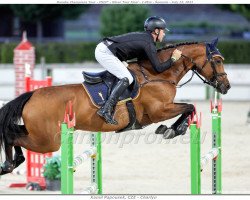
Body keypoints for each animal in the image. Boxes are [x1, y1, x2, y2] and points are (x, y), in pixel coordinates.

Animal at [0, 38, 230, 175]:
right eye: (218, 61)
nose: (226, 86)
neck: (157, 75)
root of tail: (32, 95)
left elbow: (189, 108)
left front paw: (172, 129)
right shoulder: (158, 110)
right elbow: (189, 107)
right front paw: (172, 130)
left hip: (39, 133)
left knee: (12, 131)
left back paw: (11, 163)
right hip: (47, 141)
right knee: (12, 135)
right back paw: (10, 164)